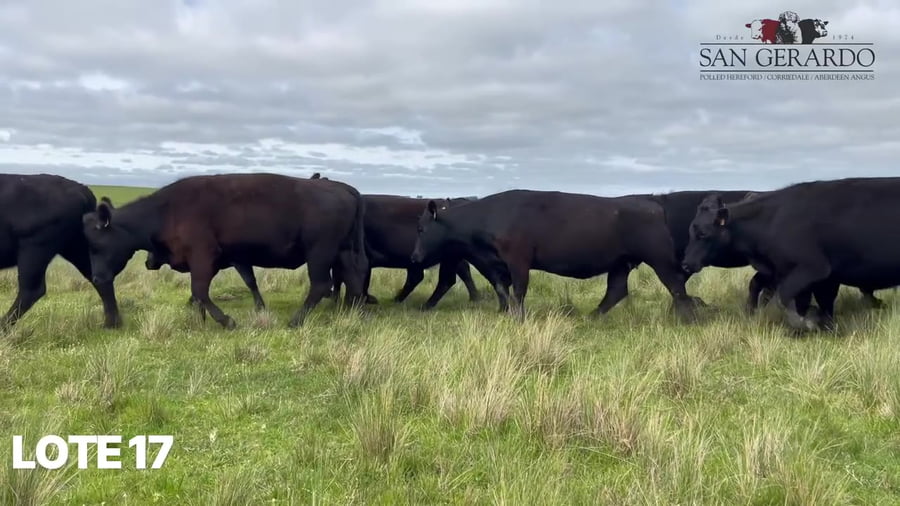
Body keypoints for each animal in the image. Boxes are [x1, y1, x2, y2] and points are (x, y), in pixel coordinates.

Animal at [0, 174, 120, 328]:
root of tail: (81, 188)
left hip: (34, 250)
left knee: (31, 290)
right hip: (76, 248)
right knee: (99, 278)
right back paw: (112, 324)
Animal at [81, 173, 368, 329]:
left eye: (96, 244)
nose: (96, 278)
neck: (167, 210)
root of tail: (345, 188)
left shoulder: (203, 258)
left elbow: (199, 291)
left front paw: (226, 320)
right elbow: (201, 293)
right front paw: (199, 320)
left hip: (319, 255)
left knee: (321, 285)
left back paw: (296, 321)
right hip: (342, 253)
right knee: (353, 281)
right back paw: (353, 315)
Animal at [410, 190, 699, 321]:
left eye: (421, 228)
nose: (414, 257)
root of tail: (650, 201)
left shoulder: (518, 260)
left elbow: (518, 290)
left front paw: (518, 318)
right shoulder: (495, 266)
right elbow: (502, 289)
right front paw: (507, 313)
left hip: (659, 258)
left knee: (676, 284)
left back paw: (685, 318)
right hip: (620, 263)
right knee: (616, 290)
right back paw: (592, 316)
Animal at [681, 177, 899, 332]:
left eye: (703, 233)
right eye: (691, 232)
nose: (685, 263)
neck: (774, 219)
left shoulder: (813, 269)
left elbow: (784, 298)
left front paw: (807, 323)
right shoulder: (818, 278)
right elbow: (821, 303)